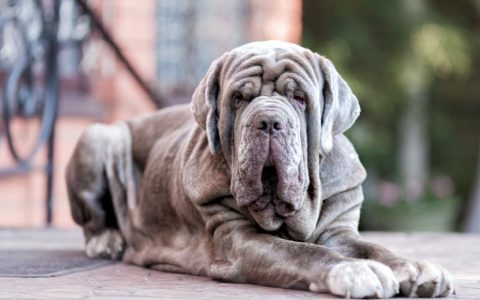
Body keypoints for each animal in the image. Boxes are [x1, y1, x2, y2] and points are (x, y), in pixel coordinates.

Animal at [66, 40, 454, 298]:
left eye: (300, 98)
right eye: (239, 98)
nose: (268, 121)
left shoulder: (340, 231)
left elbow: (375, 248)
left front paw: (416, 268)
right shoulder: (239, 240)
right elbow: (303, 252)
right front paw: (354, 270)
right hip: (100, 137)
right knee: (92, 221)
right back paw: (106, 240)